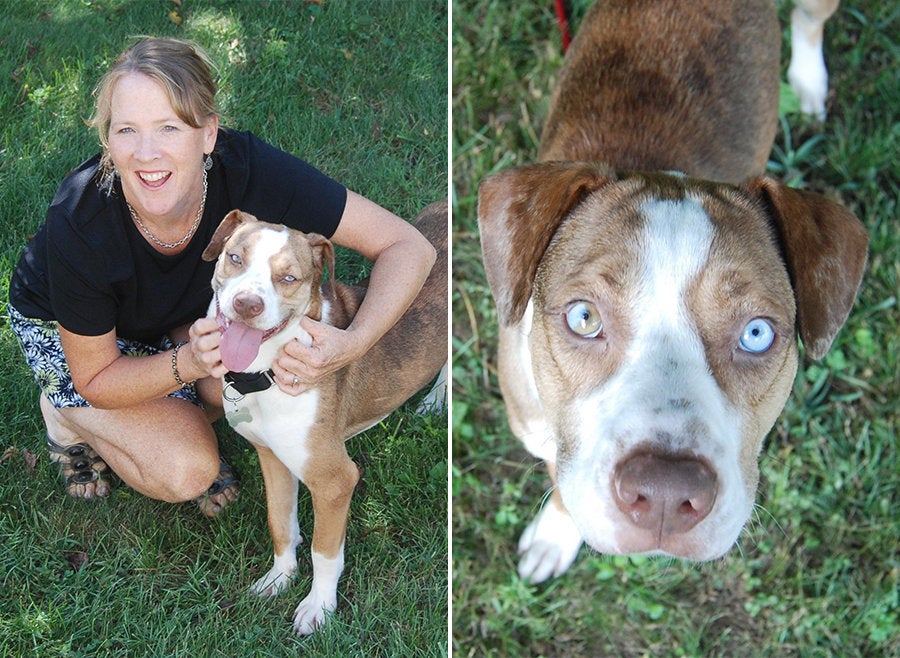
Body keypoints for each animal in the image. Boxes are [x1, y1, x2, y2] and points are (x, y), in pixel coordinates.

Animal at [200, 200, 446, 632]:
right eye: (235, 258)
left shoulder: (335, 481)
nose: (247, 304)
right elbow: (280, 523)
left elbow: (324, 551)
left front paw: (319, 607)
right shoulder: (272, 457)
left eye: (288, 278)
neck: (263, 374)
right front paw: (279, 579)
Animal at [478, 1, 864, 584]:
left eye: (757, 333)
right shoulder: (541, 432)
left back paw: (807, 81)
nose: (664, 493)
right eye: (584, 318)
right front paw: (555, 535)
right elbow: (565, 486)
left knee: (811, 19)